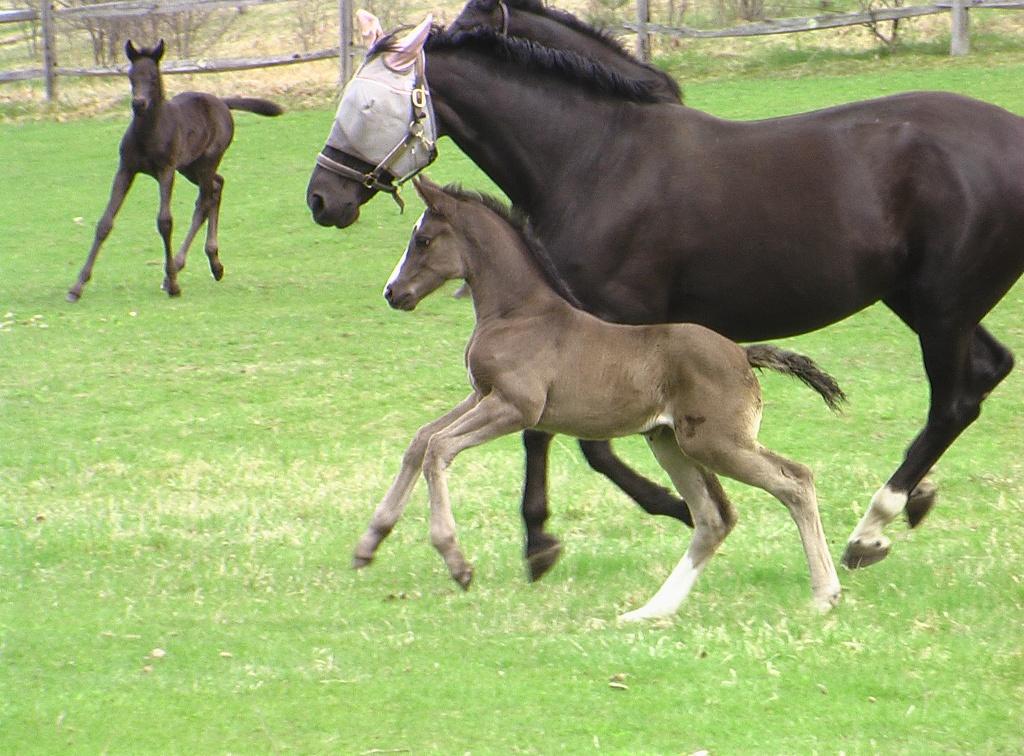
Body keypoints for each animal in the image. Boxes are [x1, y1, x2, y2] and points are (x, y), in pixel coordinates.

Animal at [67, 41, 284, 301]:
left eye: (153, 77)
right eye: (130, 76)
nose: (138, 103)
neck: (148, 134)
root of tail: (222, 102)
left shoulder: (166, 170)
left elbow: (165, 222)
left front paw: (173, 284)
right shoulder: (126, 168)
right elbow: (105, 222)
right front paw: (77, 286)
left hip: (208, 160)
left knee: (204, 201)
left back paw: (191, 266)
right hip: (191, 166)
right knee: (217, 186)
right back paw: (213, 262)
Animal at [356, 176, 843, 618]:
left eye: (422, 240)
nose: (393, 293)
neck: (518, 313)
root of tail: (742, 355)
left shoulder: (515, 407)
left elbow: (438, 448)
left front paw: (456, 562)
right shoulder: (482, 394)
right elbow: (420, 440)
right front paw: (369, 543)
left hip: (717, 443)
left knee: (795, 481)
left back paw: (824, 593)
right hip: (671, 442)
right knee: (713, 517)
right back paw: (652, 610)